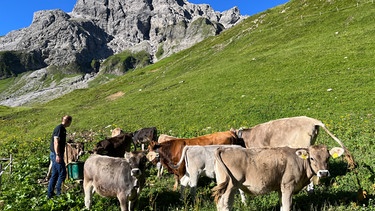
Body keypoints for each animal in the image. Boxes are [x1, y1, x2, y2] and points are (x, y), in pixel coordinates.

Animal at [213, 145, 346, 211]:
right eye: (312, 158)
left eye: (328, 157)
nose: (323, 173)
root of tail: (224, 149)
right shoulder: (288, 185)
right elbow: (287, 206)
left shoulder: (280, 188)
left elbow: (282, 205)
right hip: (230, 186)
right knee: (223, 205)